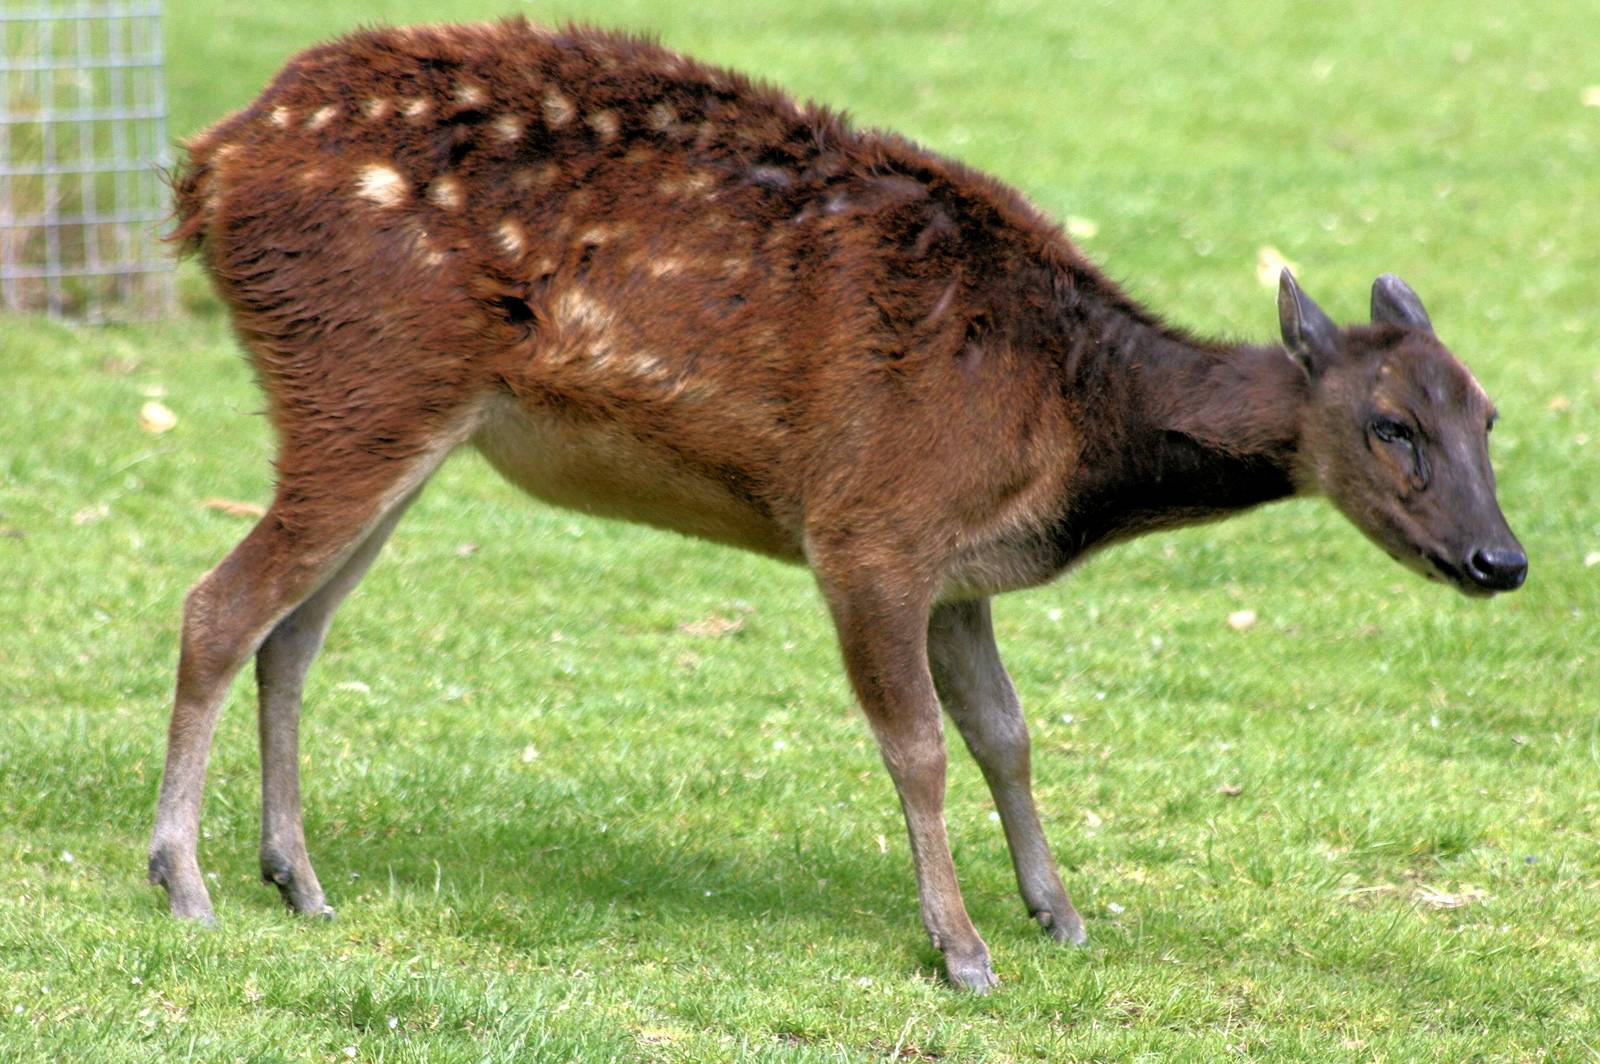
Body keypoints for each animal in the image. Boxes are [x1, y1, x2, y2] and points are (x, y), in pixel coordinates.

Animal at [149, 18, 1527, 992]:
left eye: (1489, 415)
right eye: (1390, 424)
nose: (1499, 558)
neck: (1065, 428)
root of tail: (206, 168)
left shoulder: (961, 572)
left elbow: (1008, 732)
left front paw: (1062, 912)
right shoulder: (870, 527)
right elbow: (916, 743)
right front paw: (961, 947)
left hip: (403, 422)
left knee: (293, 632)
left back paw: (298, 877)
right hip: (362, 382)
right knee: (219, 604)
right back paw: (185, 880)